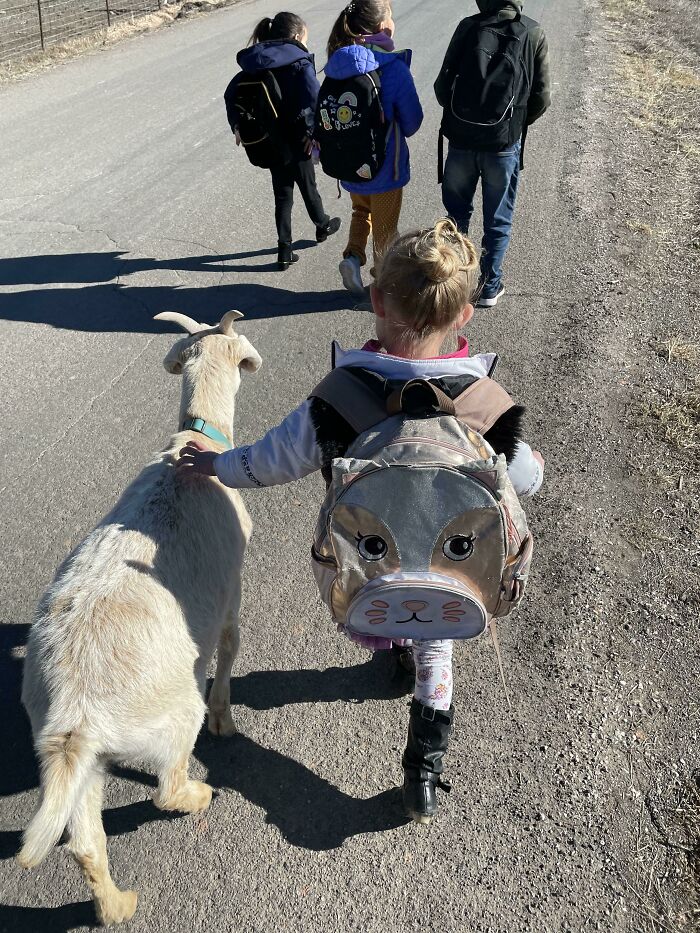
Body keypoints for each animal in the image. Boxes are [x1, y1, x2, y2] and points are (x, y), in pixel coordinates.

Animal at [17, 310, 262, 920]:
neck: (196, 444)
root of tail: (75, 712)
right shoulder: (231, 588)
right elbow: (230, 647)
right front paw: (226, 718)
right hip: (170, 714)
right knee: (167, 788)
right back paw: (198, 794)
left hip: (77, 757)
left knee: (83, 840)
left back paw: (115, 907)